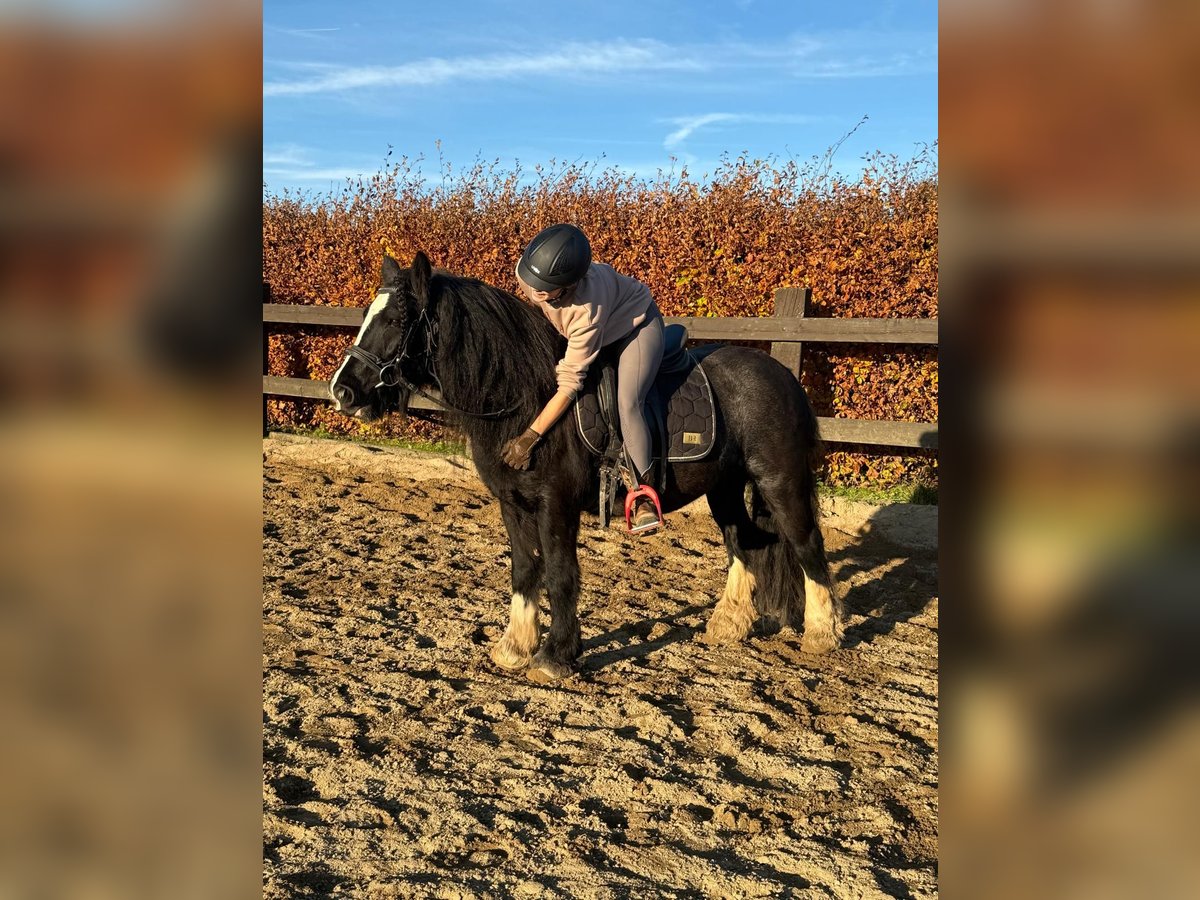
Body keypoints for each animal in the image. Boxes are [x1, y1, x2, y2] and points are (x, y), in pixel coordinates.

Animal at [329, 252, 843, 683]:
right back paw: (727, 624)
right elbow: (524, 570)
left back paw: (822, 633)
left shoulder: (555, 506)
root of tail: (781, 374)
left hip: (780, 481)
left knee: (807, 546)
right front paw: (515, 646)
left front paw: (555, 655)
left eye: (396, 319)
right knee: (744, 543)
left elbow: (559, 574)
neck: (525, 399)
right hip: (725, 487)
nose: (342, 391)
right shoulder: (513, 504)